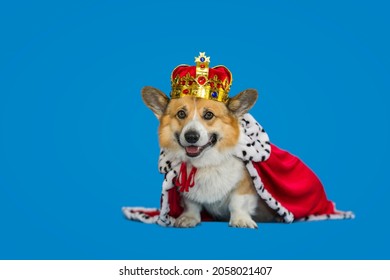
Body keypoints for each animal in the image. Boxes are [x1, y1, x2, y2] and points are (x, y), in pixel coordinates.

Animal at [142, 86, 278, 229]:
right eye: (181, 114)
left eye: (208, 115)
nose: (191, 136)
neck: (206, 163)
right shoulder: (189, 193)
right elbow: (192, 204)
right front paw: (189, 217)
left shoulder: (244, 185)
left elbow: (237, 203)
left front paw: (241, 219)